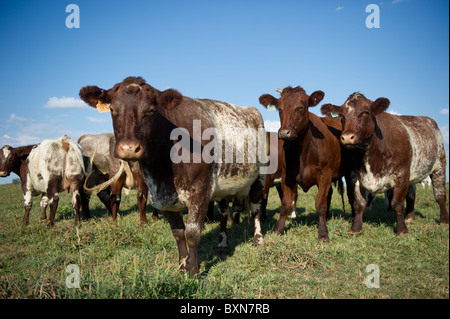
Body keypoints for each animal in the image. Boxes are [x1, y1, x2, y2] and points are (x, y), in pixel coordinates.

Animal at [80, 76, 268, 276]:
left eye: (150, 111)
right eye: (112, 109)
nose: (129, 148)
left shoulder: (201, 190)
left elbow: (192, 233)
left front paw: (193, 270)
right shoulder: (162, 198)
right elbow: (178, 233)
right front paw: (182, 266)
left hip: (259, 178)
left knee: (256, 208)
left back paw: (258, 240)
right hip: (223, 188)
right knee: (224, 213)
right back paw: (222, 243)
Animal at [258, 86, 346, 241]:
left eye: (301, 108)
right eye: (279, 109)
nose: (284, 133)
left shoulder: (324, 175)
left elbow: (320, 204)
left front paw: (323, 233)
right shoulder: (287, 176)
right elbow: (285, 204)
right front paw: (279, 229)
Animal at [322, 92, 448, 235]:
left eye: (365, 113)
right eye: (341, 116)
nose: (347, 137)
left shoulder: (401, 174)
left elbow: (397, 203)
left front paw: (402, 229)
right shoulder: (353, 175)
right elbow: (358, 203)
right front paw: (355, 228)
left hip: (439, 165)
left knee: (440, 195)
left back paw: (444, 220)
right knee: (411, 194)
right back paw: (410, 217)